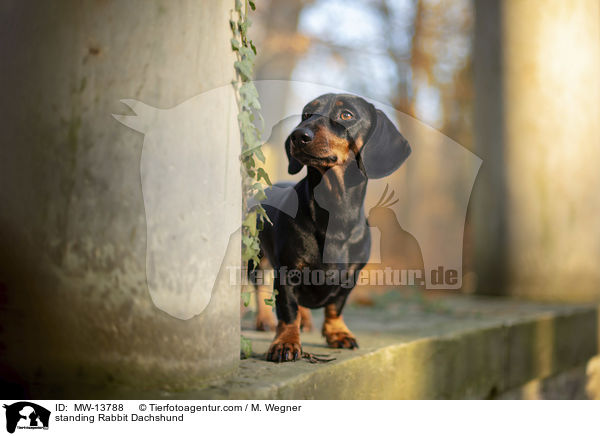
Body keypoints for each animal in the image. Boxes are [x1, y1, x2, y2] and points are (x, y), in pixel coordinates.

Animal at [255, 93, 410, 362]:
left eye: (346, 115)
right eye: (307, 114)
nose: (299, 135)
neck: (336, 211)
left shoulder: (350, 277)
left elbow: (335, 307)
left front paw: (338, 333)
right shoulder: (286, 272)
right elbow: (287, 310)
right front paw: (286, 342)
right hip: (255, 257)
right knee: (257, 287)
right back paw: (264, 320)